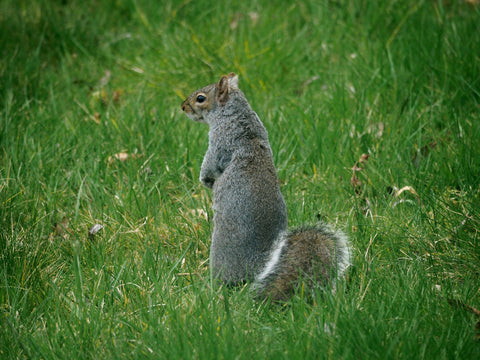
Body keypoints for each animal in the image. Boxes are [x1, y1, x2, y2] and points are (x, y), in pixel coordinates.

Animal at [182, 73, 350, 300]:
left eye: (200, 98)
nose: (183, 106)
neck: (236, 115)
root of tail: (260, 267)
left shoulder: (219, 142)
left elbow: (210, 168)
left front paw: (206, 181)